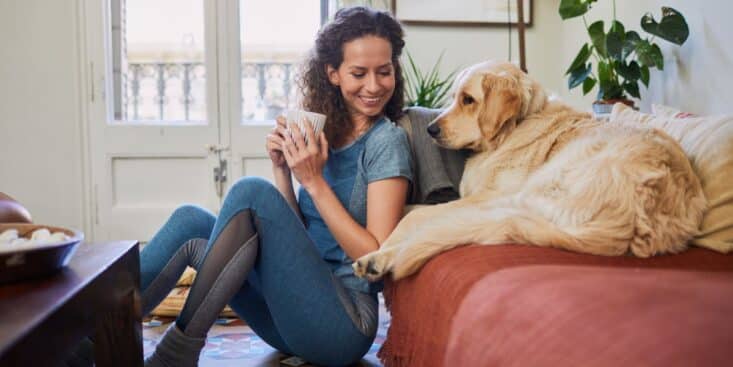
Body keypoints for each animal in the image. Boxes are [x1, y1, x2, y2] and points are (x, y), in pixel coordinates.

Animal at [352, 60, 708, 282]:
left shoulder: (489, 196)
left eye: (468, 100)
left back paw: (379, 258)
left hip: (529, 193)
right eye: (454, 98)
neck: (514, 128)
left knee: (440, 225)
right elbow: (416, 209)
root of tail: (630, 220)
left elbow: (419, 215)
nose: (431, 130)